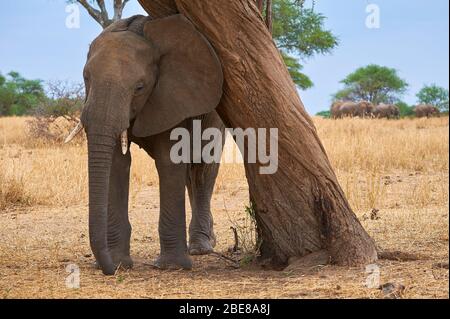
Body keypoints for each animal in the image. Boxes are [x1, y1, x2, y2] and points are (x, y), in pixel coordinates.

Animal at [65, 14, 227, 276]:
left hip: (214, 115)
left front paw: (172, 266)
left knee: (203, 167)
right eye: (86, 78)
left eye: (139, 87)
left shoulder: (172, 97)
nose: (108, 269)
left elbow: (169, 160)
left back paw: (201, 248)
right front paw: (120, 262)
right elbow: (117, 163)